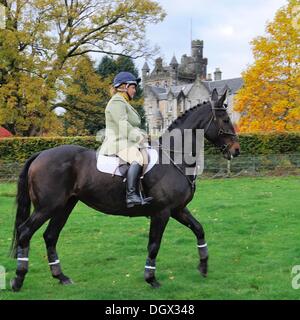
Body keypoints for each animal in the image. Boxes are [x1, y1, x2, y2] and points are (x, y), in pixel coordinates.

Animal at [9, 89, 239, 292]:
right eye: (225, 120)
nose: (236, 150)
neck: (174, 159)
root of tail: (40, 154)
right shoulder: (162, 212)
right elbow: (154, 245)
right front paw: (151, 278)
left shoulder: (178, 210)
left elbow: (199, 229)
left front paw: (203, 266)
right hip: (47, 207)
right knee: (25, 232)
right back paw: (18, 279)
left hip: (64, 206)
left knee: (50, 236)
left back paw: (61, 277)